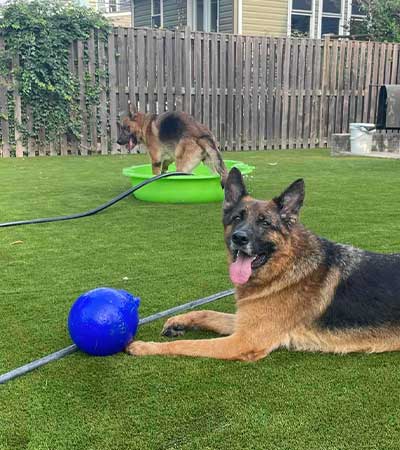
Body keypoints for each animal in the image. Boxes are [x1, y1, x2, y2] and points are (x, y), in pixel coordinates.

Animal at [126, 169, 400, 362]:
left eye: (265, 223)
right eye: (237, 218)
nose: (239, 238)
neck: (285, 268)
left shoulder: (242, 341)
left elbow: (186, 345)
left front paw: (144, 347)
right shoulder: (243, 323)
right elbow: (207, 313)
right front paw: (179, 320)